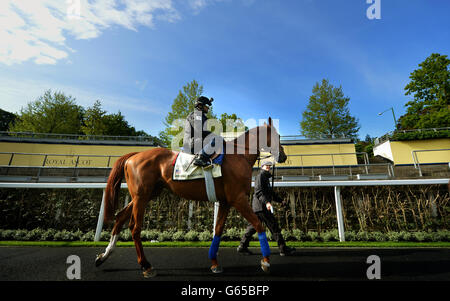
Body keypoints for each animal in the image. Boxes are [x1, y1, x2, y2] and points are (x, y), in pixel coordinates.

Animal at [94, 116, 288, 276]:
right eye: (277, 136)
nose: (283, 156)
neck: (238, 156)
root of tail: (132, 156)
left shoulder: (225, 202)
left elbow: (218, 231)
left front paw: (214, 262)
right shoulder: (238, 199)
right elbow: (258, 225)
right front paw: (266, 261)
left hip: (145, 195)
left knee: (120, 217)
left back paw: (104, 256)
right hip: (141, 198)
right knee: (135, 228)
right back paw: (146, 266)